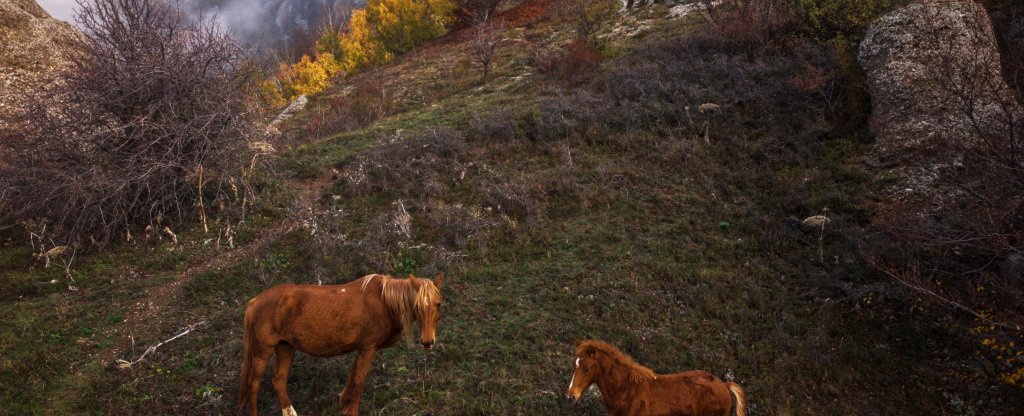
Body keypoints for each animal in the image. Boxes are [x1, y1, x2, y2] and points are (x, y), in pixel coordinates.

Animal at [235, 272, 444, 416]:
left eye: (438, 303)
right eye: (417, 305)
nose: (427, 341)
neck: (383, 301)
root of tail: (255, 301)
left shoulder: (362, 349)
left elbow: (352, 380)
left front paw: (344, 406)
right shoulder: (368, 348)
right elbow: (358, 382)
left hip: (285, 347)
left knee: (278, 380)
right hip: (262, 351)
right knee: (253, 384)